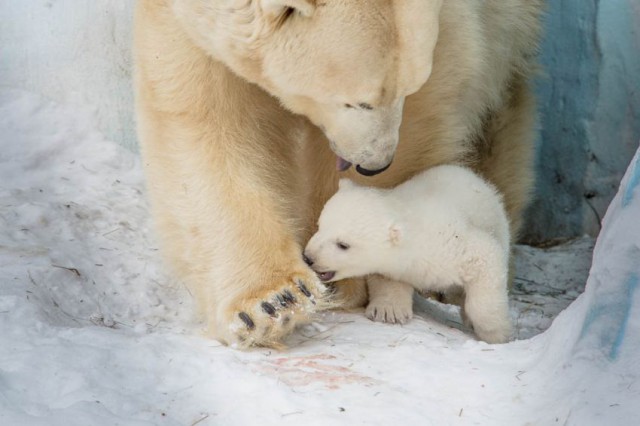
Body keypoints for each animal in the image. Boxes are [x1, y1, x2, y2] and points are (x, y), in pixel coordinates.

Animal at [306, 165, 516, 344]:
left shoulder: (452, 245)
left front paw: (495, 333)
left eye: (343, 245)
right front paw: (388, 311)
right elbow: (388, 280)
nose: (308, 258)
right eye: (319, 225)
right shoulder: (395, 266)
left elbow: (486, 257)